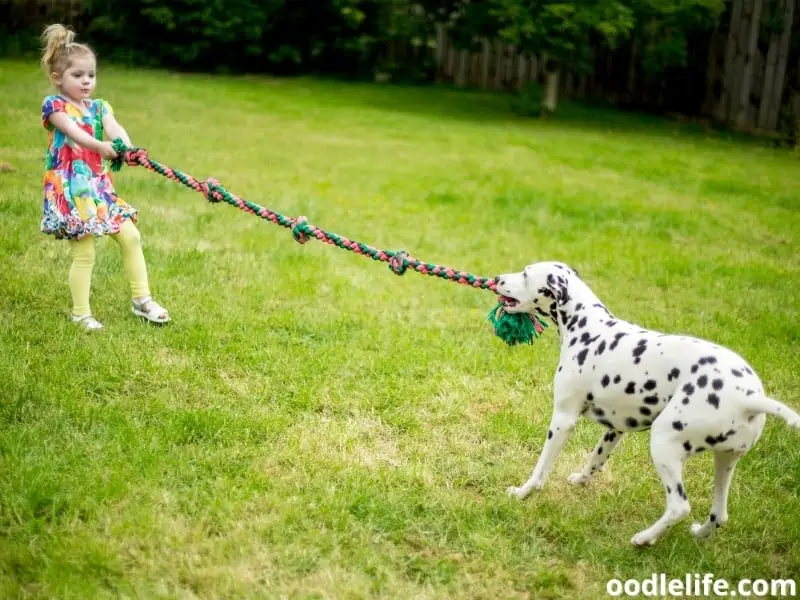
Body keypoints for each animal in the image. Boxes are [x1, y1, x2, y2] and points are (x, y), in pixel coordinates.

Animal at [496, 260, 796, 548]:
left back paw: (644, 538)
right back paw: (699, 533)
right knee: (719, 515)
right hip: (724, 461)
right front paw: (581, 480)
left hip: (664, 444)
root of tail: (749, 397)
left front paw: (522, 493)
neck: (590, 329)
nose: (497, 278)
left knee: (679, 506)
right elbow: (595, 460)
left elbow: (540, 471)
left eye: (526, 273)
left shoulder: (562, 420)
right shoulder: (616, 430)